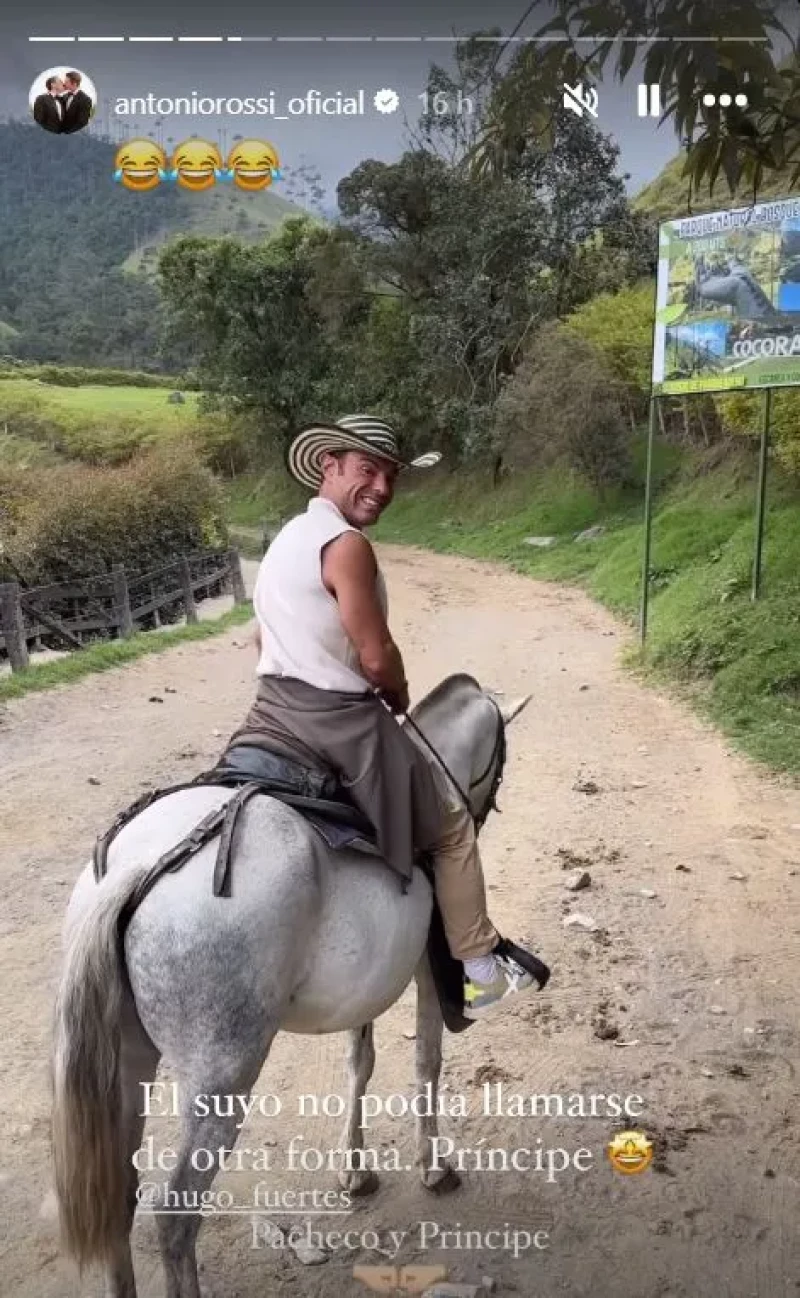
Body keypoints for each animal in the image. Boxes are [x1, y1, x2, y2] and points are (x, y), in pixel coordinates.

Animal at [53, 674, 532, 1292]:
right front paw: (433, 1168)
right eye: (501, 756)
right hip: (221, 1078)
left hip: (124, 1062)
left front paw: (355, 1173)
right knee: (175, 1213)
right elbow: (426, 1060)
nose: (482, 808)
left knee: (118, 1196)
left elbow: (360, 1064)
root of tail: (140, 867)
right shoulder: (429, 969)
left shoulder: (363, 987)